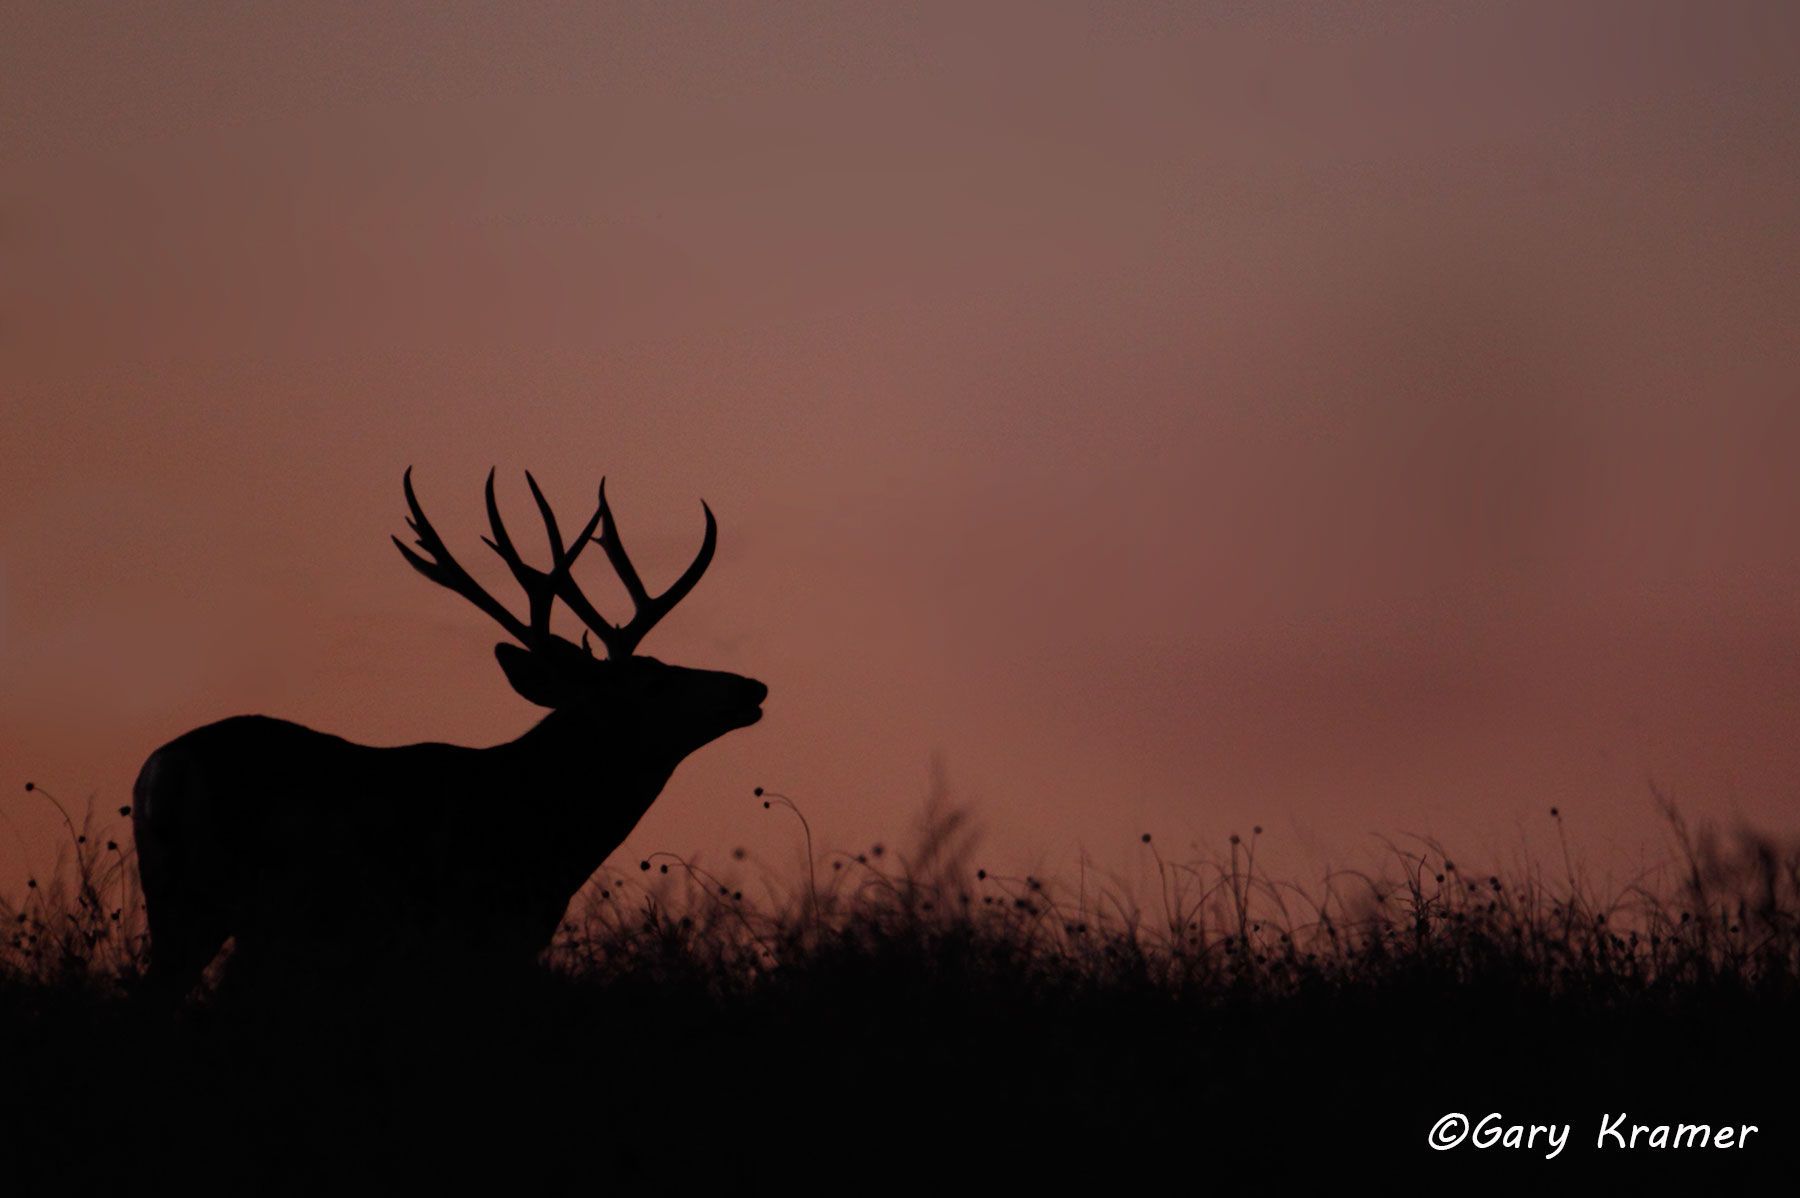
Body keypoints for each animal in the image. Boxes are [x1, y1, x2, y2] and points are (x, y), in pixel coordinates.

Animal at [130, 469, 766, 1006]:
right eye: (654, 682)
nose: (752, 686)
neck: (549, 832)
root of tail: (161, 768)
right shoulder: (464, 929)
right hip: (214, 900)